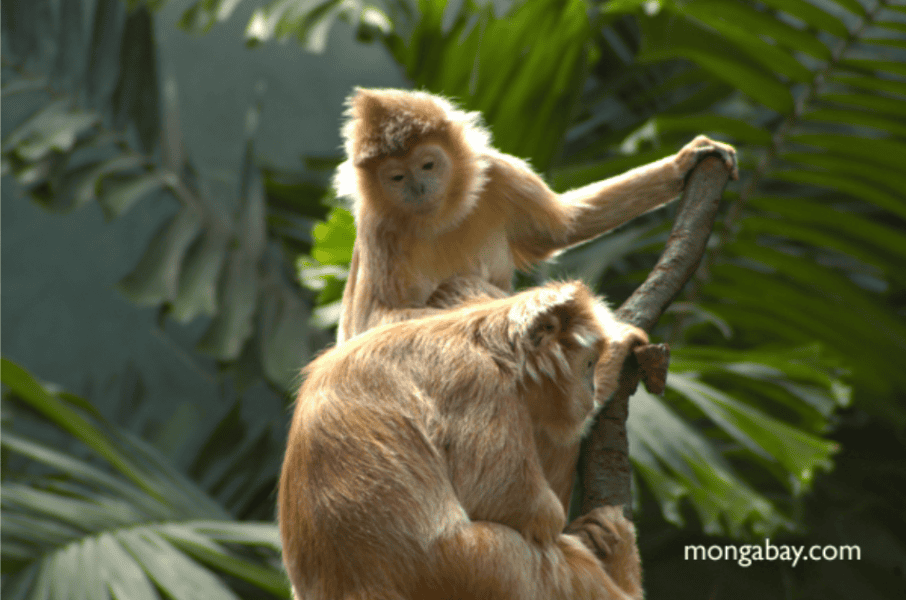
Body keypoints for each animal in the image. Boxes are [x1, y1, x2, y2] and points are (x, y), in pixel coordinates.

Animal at [278, 282, 648, 600]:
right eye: (587, 364)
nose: (590, 391)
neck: (483, 340)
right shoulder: (478, 382)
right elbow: (512, 501)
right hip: (469, 568)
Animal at [332, 87, 736, 344]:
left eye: (427, 165)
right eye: (397, 177)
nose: (418, 189)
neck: (443, 217)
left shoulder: (497, 172)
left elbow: (564, 227)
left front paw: (681, 164)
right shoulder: (377, 228)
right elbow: (375, 327)